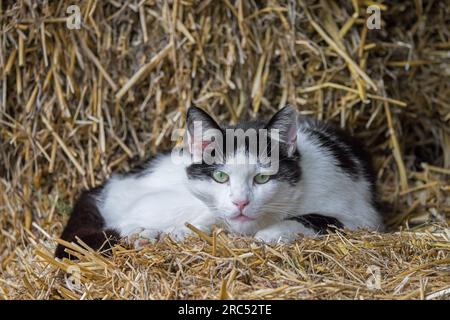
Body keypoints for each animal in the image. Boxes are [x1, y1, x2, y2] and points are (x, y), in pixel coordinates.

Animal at [53, 106, 384, 258]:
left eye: (262, 177)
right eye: (220, 176)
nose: (240, 202)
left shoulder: (362, 215)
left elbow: (316, 218)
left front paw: (272, 233)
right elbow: (212, 215)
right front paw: (183, 231)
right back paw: (144, 234)